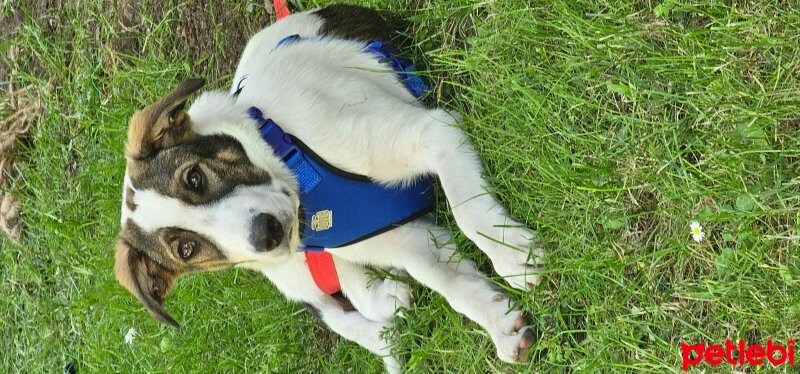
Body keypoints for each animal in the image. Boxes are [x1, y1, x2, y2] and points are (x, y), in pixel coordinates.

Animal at [114, 4, 544, 372]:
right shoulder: (398, 237)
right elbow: (444, 279)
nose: (266, 234)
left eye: (194, 178)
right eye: (186, 249)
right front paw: (499, 321)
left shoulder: (432, 133)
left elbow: (466, 213)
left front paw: (511, 256)